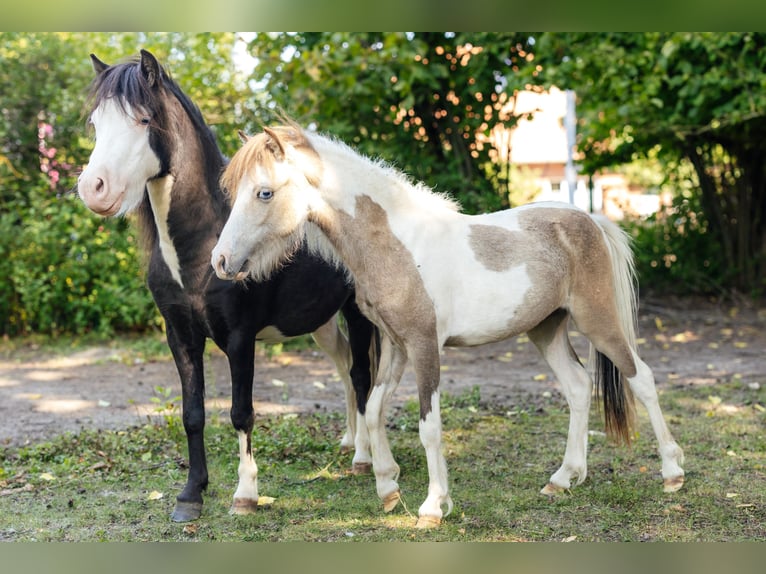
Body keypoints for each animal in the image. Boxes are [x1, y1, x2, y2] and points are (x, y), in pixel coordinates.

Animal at [76, 52, 377, 522]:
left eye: (143, 119)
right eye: (95, 123)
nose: (94, 188)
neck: (204, 240)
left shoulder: (239, 338)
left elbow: (241, 413)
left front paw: (246, 493)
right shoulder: (180, 335)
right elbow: (193, 413)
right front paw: (191, 495)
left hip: (358, 312)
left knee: (362, 375)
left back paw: (363, 458)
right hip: (322, 322)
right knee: (346, 366)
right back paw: (349, 443)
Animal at [211, 122, 686, 528]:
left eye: (265, 192)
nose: (220, 261)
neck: (400, 245)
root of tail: (590, 219)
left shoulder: (424, 346)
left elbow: (429, 426)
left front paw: (433, 505)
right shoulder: (396, 345)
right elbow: (374, 409)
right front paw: (388, 487)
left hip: (597, 321)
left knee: (642, 378)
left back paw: (672, 472)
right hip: (546, 330)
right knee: (578, 388)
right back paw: (564, 478)